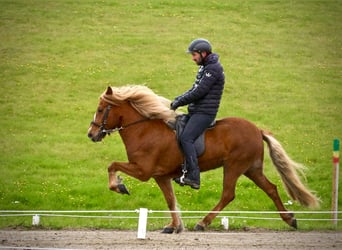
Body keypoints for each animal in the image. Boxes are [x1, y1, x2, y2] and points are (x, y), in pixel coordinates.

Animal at [87, 85, 320, 233]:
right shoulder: (160, 176)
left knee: (228, 194)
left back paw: (202, 222)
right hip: (251, 168)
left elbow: (112, 165)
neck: (143, 129)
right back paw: (290, 219)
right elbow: (170, 200)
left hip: (234, 166)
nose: (91, 134)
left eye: (100, 110)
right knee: (271, 188)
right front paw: (174, 226)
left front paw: (119, 186)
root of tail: (257, 129)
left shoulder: (143, 170)